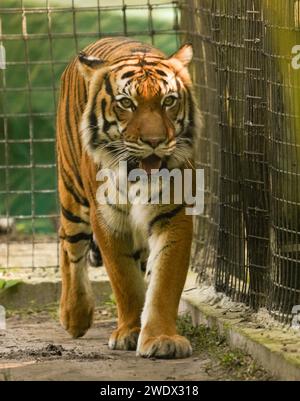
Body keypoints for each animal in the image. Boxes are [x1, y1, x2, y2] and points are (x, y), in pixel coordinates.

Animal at [56, 36, 202, 358]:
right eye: (126, 103)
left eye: (169, 101)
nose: (154, 141)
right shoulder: (107, 218)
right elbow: (124, 279)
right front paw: (130, 332)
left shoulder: (173, 215)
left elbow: (163, 282)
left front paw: (161, 338)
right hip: (72, 194)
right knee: (68, 242)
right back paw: (74, 316)